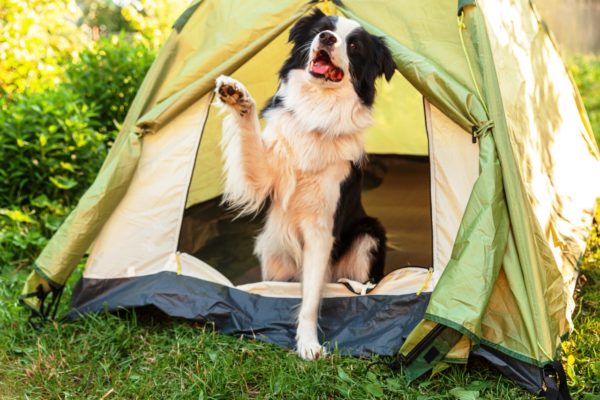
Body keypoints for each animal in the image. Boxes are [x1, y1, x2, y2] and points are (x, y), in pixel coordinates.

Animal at [214, 8, 394, 360]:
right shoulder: (264, 176)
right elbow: (250, 137)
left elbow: (311, 296)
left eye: (355, 45)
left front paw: (308, 343)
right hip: (273, 252)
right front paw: (237, 95)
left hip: (368, 235)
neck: (318, 108)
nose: (326, 39)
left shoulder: (321, 228)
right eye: (322, 29)